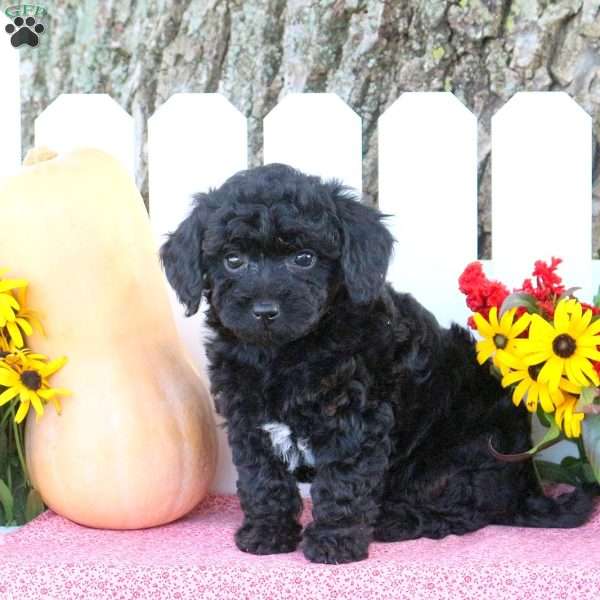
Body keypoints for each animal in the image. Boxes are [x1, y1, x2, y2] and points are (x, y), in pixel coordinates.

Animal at [161, 164, 596, 564]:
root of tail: (526, 487)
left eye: (304, 258)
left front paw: (334, 543)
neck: (283, 353)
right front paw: (267, 533)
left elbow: (342, 482)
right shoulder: (248, 421)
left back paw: (393, 521)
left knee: (461, 509)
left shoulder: (354, 420)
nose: (265, 310)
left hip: (460, 455)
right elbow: (262, 480)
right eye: (232, 259)